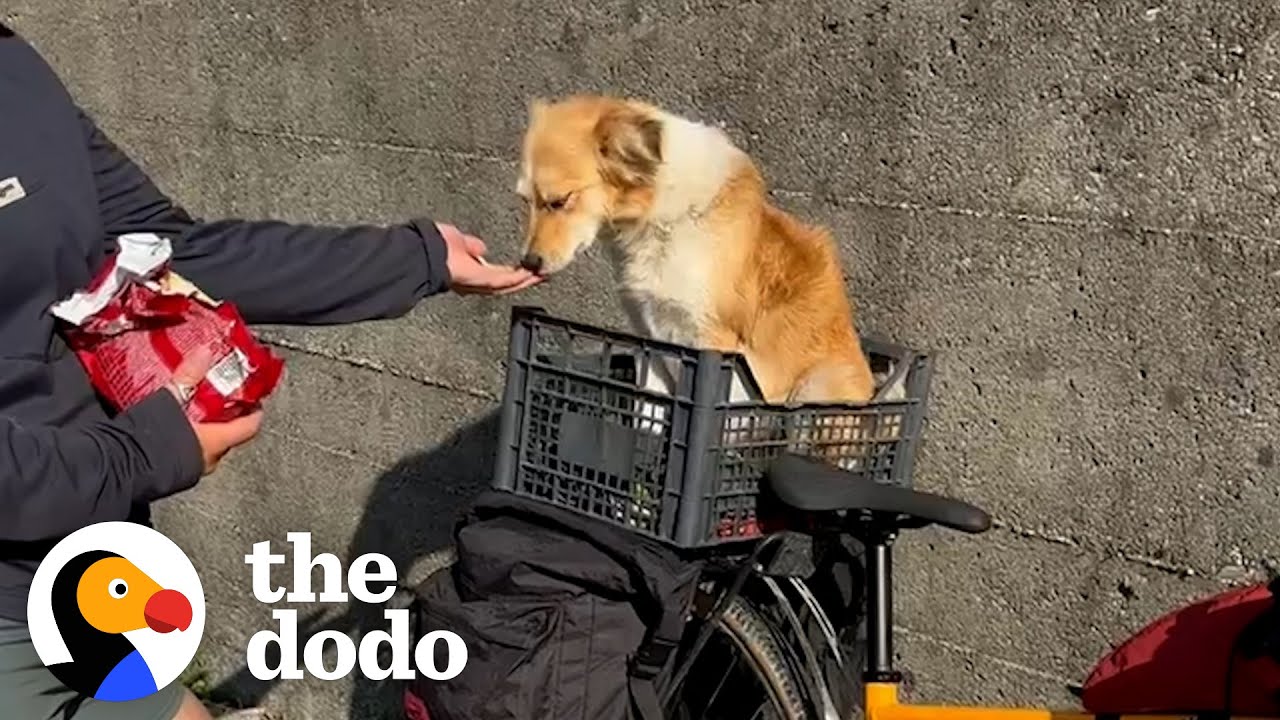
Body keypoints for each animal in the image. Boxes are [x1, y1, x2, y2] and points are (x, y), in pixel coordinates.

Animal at [514, 96, 875, 407]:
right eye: (525, 200)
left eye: (559, 201)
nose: (528, 262)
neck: (663, 219)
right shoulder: (650, 338)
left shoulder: (714, 342)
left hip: (814, 390)